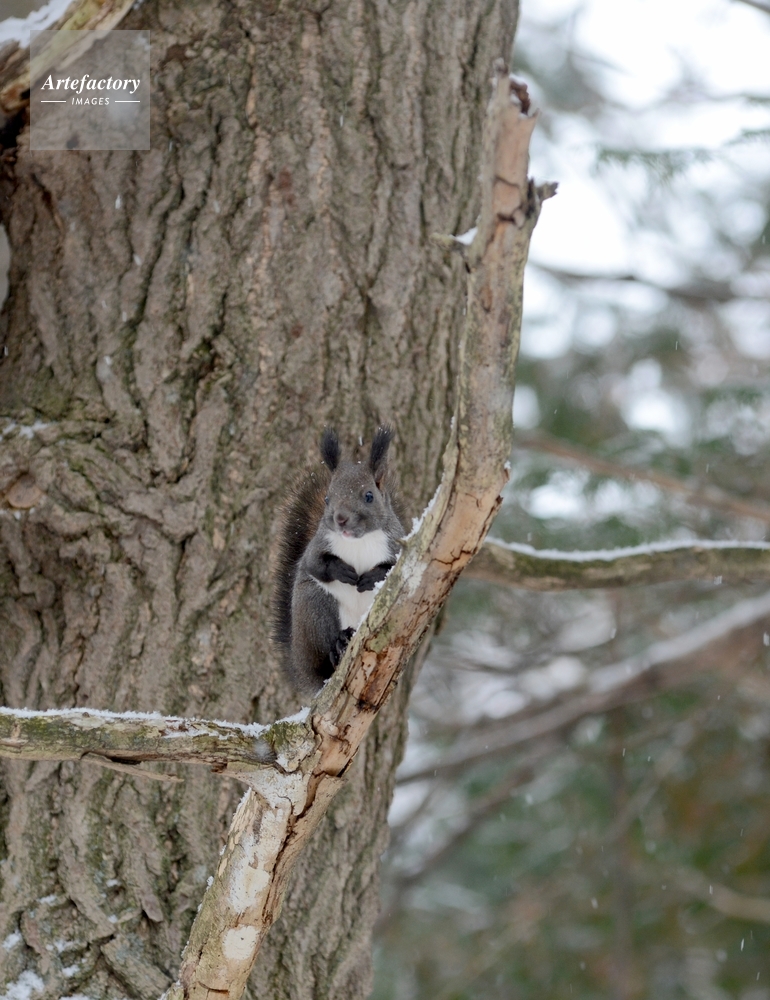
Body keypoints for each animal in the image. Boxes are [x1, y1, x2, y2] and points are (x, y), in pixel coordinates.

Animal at [272, 426, 406, 697]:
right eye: (327, 498)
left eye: (369, 496)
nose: (340, 518)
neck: (358, 540)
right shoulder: (317, 547)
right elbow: (313, 565)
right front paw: (343, 571)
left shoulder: (397, 544)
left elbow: (391, 568)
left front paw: (371, 577)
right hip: (315, 609)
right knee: (325, 659)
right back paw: (338, 646)